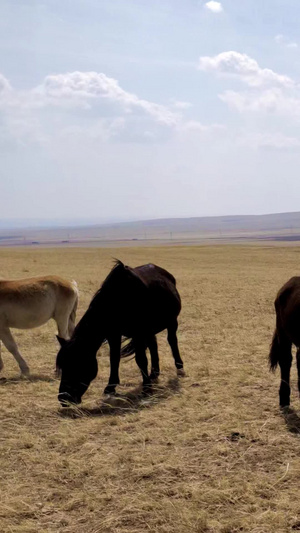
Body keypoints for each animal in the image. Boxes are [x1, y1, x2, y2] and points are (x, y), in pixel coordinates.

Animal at [55, 260, 183, 406]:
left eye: (76, 364)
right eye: (62, 366)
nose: (63, 398)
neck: (117, 301)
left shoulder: (139, 334)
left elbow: (141, 359)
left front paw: (146, 388)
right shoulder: (113, 334)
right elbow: (114, 358)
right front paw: (110, 387)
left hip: (172, 322)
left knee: (172, 341)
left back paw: (179, 368)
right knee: (153, 345)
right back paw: (154, 373)